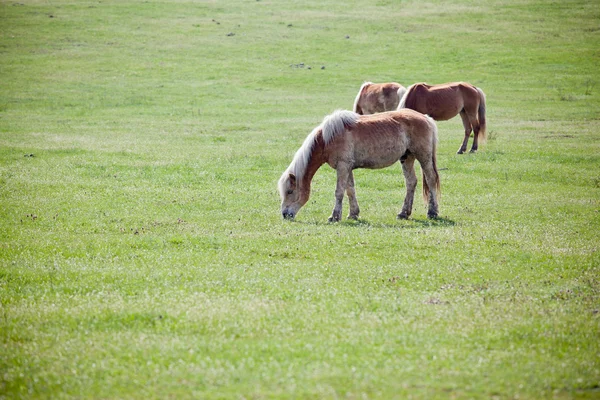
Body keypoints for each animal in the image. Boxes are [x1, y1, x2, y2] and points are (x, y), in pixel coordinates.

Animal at [278, 109, 440, 222]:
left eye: (290, 191)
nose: (285, 214)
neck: (327, 139)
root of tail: (426, 118)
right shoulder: (347, 168)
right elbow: (350, 190)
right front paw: (353, 214)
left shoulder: (343, 166)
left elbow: (339, 192)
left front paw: (334, 216)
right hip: (407, 158)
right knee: (411, 182)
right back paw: (403, 213)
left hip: (423, 157)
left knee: (431, 179)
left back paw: (432, 212)